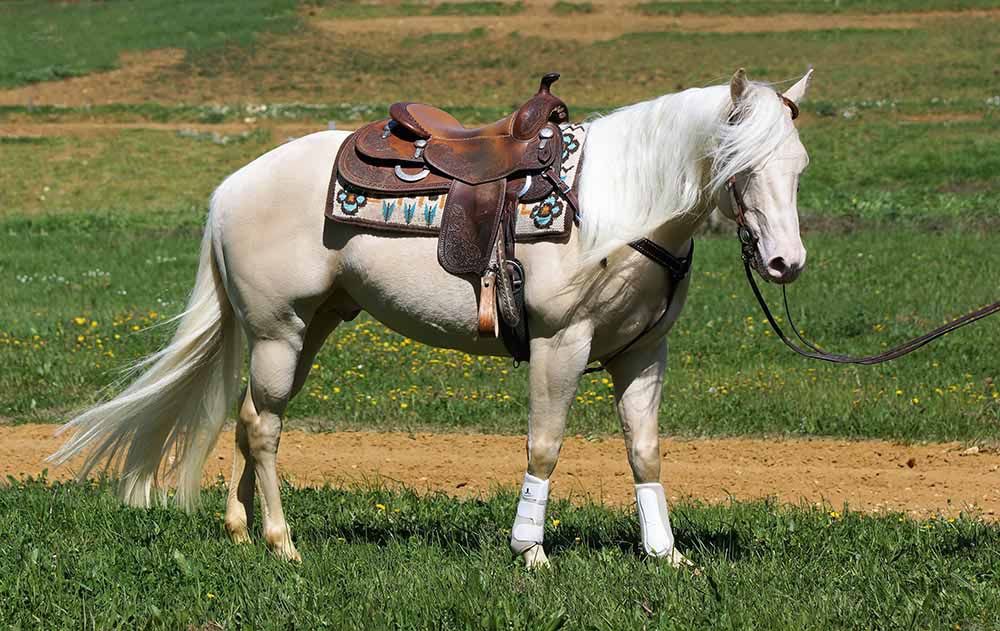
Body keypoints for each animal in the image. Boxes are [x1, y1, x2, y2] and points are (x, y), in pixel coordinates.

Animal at [51, 68, 813, 568]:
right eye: (740, 162)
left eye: (799, 164)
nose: (786, 261)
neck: (613, 205)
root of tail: (230, 188)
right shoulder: (560, 345)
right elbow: (544, 445)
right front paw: (531, 553)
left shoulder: (642, 352)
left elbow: (645, 450)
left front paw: (666, 555)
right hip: (277, 329)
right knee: (264, 429)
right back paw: (282, 542)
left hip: (310, 329)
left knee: (248, 418)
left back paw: (241, 530)